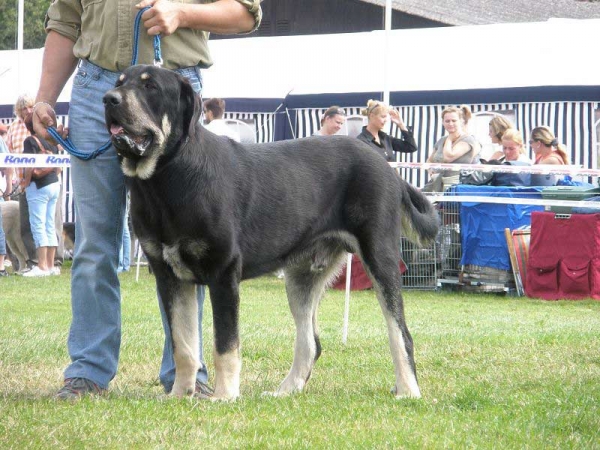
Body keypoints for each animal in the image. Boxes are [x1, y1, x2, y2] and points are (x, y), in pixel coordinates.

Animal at [103, 65, 438, 400]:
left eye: (151, 87)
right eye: (119, 82)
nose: (108, 99)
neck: (166, 178)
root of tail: (389, 168)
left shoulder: (223, 272)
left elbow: (225, 345)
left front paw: (224, 397)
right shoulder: (168, 275)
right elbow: (183, 345)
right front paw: (179, 395)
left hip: (379, 257)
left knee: (400, 333)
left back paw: (408, 391)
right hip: (302, 276)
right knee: (310, 343)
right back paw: (286, 391)